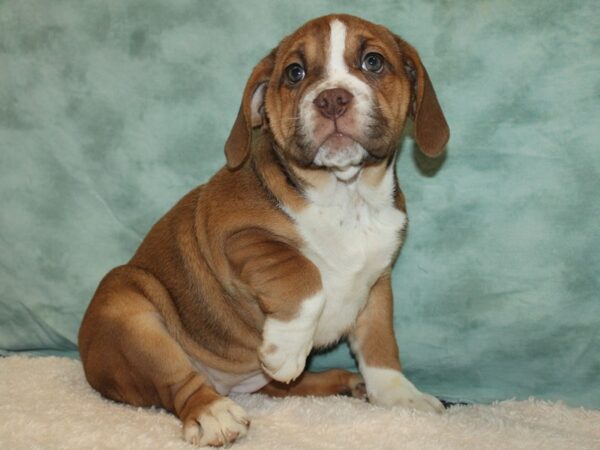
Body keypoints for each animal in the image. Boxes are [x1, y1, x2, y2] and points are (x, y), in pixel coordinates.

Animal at [77, 13, 448, 446]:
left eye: (373, 62)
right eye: (294, 72)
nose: (332, 99)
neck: (346, 195)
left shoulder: (377, 284)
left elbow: (380, 346)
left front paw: (400, 397)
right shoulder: (237, 235)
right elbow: (303, 273)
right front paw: (286, 349)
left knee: (280, 387)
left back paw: (343, 381)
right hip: (127, 307)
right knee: (178, 382)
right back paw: (213, 413)